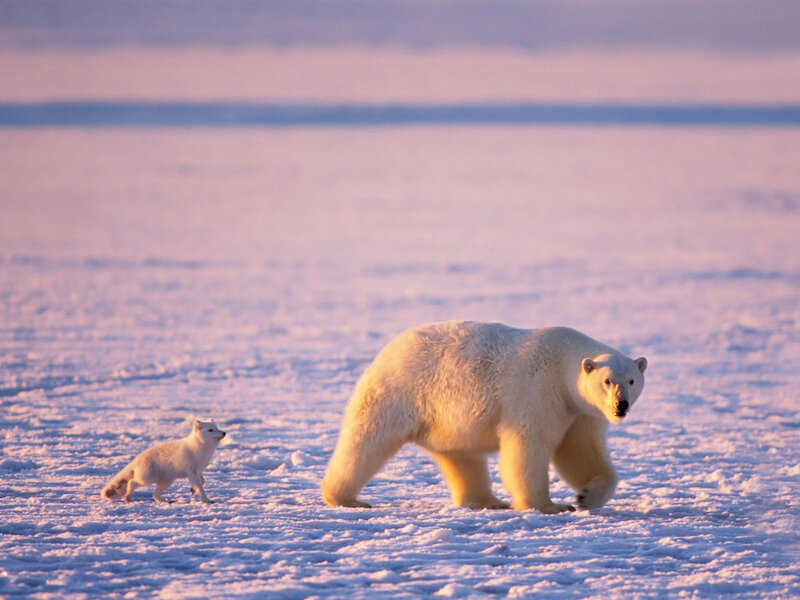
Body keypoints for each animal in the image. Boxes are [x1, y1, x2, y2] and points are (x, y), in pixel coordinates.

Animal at [321, 321, 647, 514]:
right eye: (607, 381)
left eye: (632, 380)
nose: (620, 405)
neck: (562, 361)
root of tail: (387, 350)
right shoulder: (538, 392)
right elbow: (528, 447)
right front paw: (549, 506)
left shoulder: (580, 411)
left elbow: (579, 451)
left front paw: (586, 496)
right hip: (400, 392)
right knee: (367, 440)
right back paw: (346, 498)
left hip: (446, 420)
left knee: (462, 457)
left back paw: (488, 501)